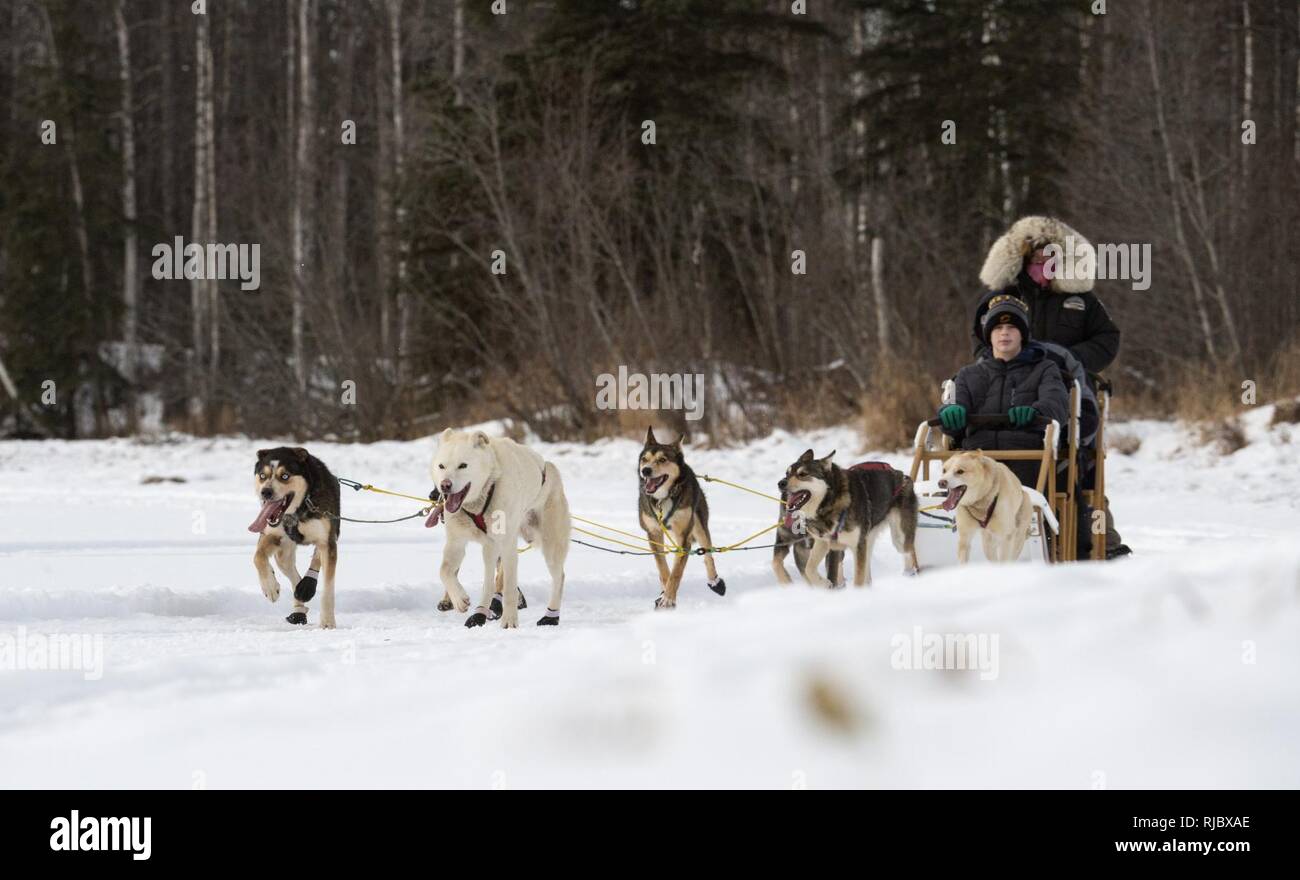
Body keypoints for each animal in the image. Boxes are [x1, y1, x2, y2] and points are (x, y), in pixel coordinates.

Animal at [428, 428, 572, 629]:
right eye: (441, 466)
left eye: (463, 465)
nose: (444, 485)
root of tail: (549, 467)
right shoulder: (456, 542)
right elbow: (445, 571)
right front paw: (459, 599)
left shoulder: (507, 544)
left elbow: (510, 586)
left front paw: (509, 620)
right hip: (490, 548)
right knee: (488, 582)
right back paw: (480, 613)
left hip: (551, 546)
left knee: (559, 577)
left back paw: (551, 616)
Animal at [637, 426, 728, 608]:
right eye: (645, 459)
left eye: (663, 459)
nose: (646, 470)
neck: (663, 498)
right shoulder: (654, 534)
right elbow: (663, 568)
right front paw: (664, 593)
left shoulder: (684, 536)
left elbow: (677, 571)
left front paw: (668, 598)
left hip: (699, 525)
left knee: (708, 554)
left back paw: (715, 582)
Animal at [774, 449, 920, 587]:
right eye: (787, 473)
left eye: (803, 474)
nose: (781, 483)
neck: (829, 503)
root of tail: (902, 475)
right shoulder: (823, 542)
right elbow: (809, 569)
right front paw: (824, 584)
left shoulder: (857, 546)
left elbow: (857, 580)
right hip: (867, 541)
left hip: (899, 539)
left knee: (910, 555)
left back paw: (910, 575)